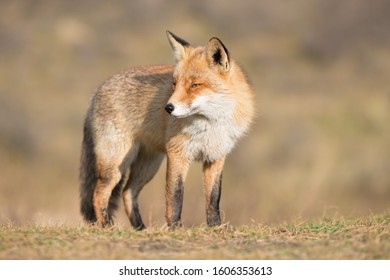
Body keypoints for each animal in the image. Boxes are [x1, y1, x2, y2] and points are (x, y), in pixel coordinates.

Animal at [80, 30, 256, 230]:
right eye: (174, 83)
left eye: (195, 85)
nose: (168, 108)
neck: (211, 124)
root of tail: (97, 90)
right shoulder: (178, 154)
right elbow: (175, 196)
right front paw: (175, 228)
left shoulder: (215, 157)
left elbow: (213, 198)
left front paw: (215, 227)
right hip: (116, 164)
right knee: (98, 194)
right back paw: (106, 227)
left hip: (148, 165)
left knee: (127, 192)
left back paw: (140, 229)